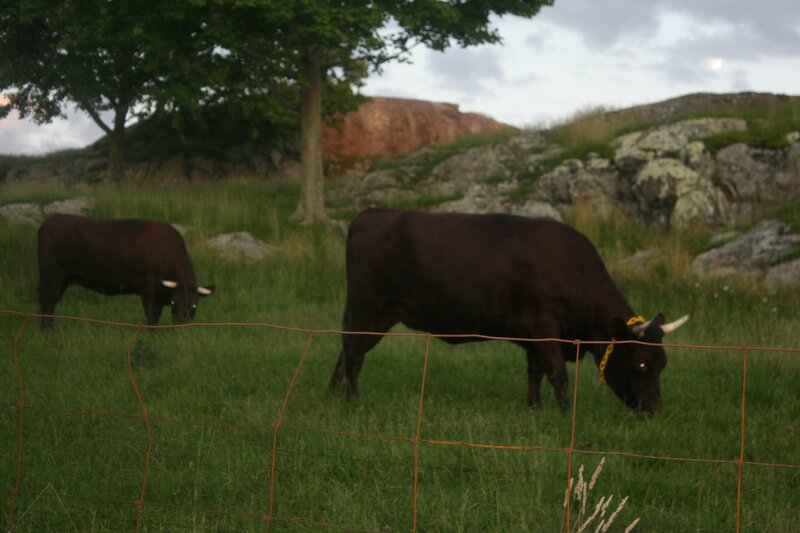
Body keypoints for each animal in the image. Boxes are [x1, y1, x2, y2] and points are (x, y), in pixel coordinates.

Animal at [37, 214, 214, 327]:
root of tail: (51, 220)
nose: (180, 326)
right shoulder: (147, 287)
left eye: (194, 305)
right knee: (47, 303)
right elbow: (152, 314)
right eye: (173, 302)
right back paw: (47, 330)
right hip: (53, 276)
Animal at [329, 208, 689, 413]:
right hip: (366, 305)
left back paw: (334, 392)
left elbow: (535, 372)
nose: (654, 410)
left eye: (664, 363)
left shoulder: (533, 334)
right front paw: (563, 415)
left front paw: (534, 408)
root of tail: (370, 214)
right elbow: (558, 374)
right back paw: (352, 400)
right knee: (353, 353)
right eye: (641, 364)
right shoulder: (545, 326)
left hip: (379, 314)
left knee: (347, 350)